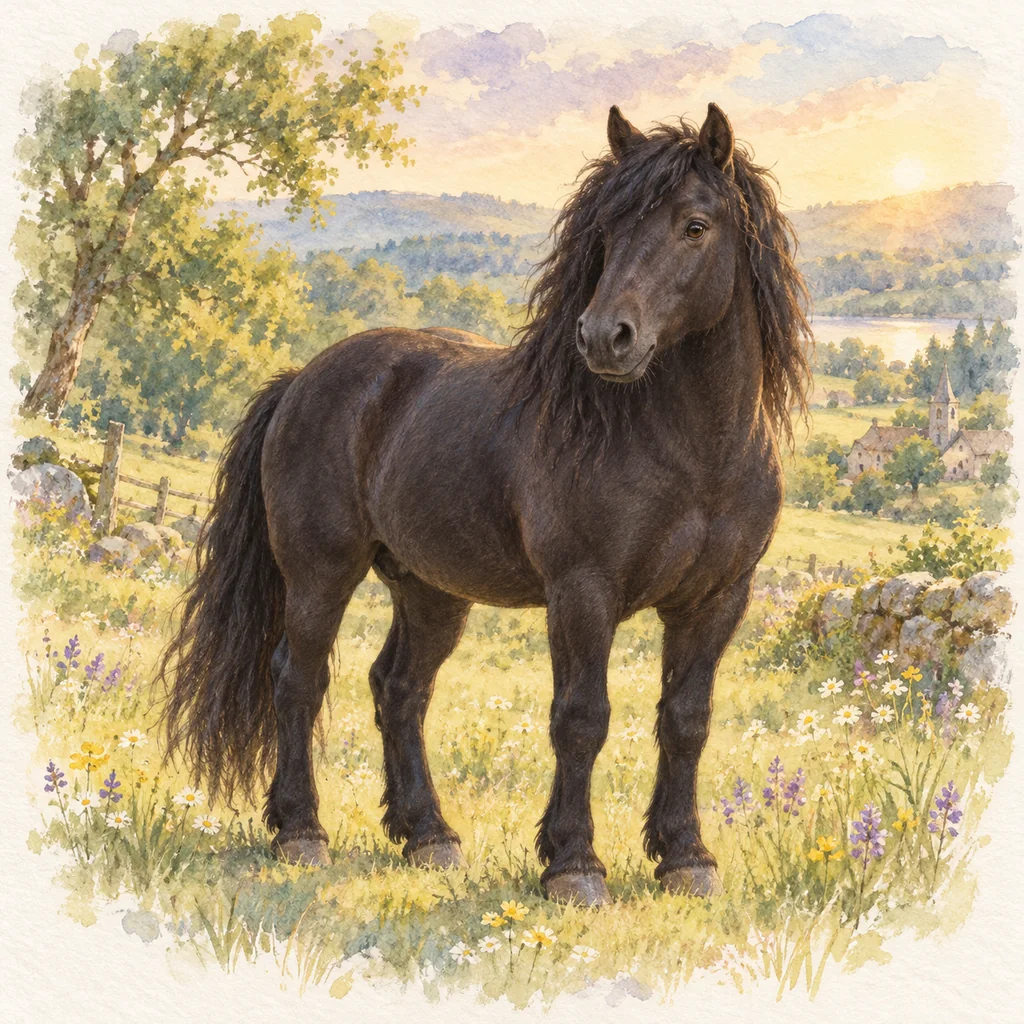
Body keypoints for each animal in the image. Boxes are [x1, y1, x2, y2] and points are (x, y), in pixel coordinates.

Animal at [160, 103, 811, 907]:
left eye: (695, 225)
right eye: (609, 229)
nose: (606, 336)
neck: (694, 452)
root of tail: (302, 378)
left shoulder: (718, 599)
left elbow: (687, 720)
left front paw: (685, 857)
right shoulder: (583, 593)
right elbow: (582, 719)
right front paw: (574, 865)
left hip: (430, 589)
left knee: (400, 690)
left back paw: (428, 836)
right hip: (320, 572)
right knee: (298, 679)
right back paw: (301, 831)